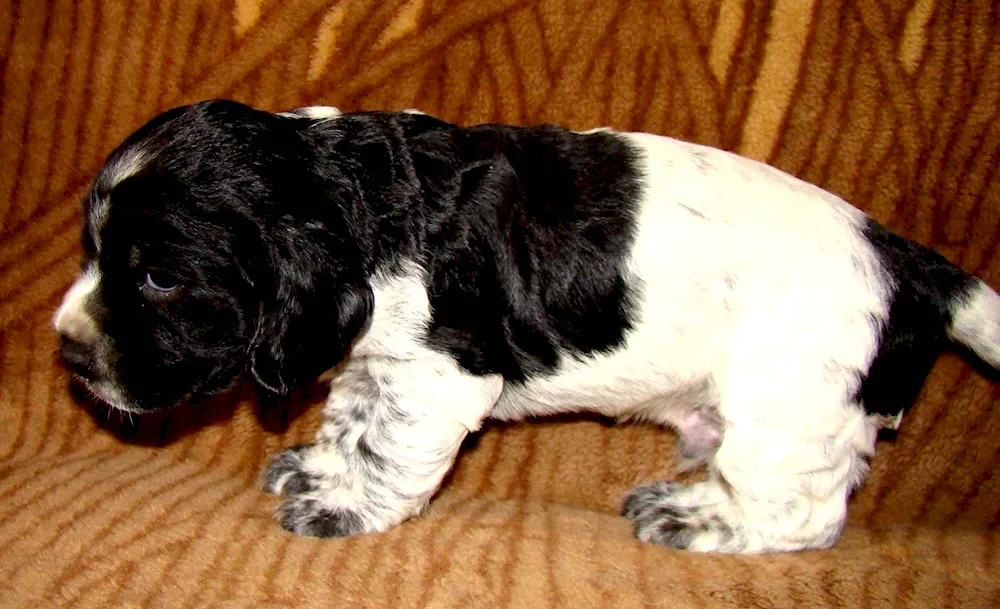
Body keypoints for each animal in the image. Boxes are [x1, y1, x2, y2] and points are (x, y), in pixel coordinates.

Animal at [56, 100, 1000, 552]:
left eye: (160, 275)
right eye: (93, 252)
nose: (67, 351)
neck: (359, 192)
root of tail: (907, 261)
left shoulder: (438, 376)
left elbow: (389, 451)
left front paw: (344, 504)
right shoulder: (376, 363)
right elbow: (353, 421)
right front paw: (321, 468)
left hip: (787, 413)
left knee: (804, 514)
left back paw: (703, 519)